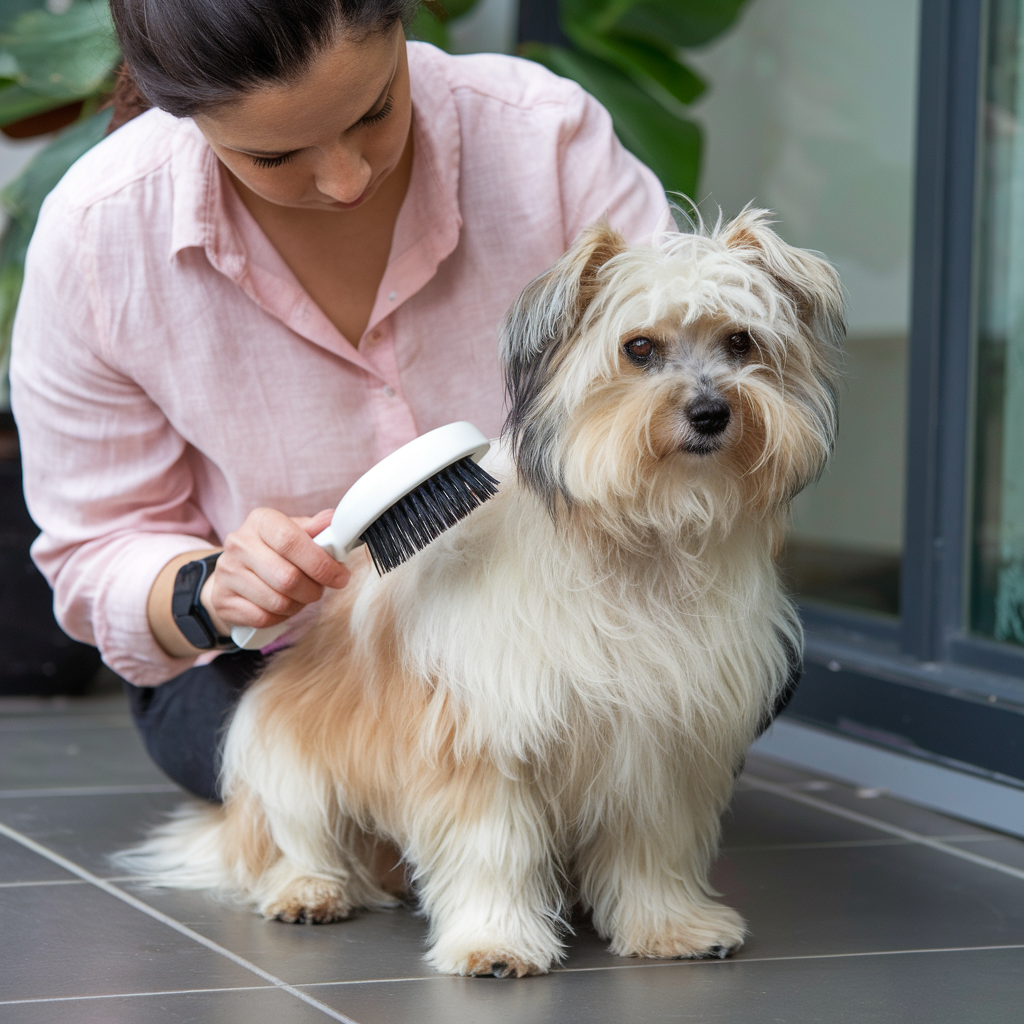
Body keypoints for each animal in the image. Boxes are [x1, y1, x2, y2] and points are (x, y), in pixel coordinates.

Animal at [119, 205, 843, 974]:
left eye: (740, 341)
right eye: (639, 348)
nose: (710, 413)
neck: (636, 543)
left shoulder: (663, 745)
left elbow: (654, 851)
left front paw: (669, 927)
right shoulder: (482, 739)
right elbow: (492, 849)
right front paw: (496, 942)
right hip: (280, 755)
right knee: (291, 841)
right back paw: (309, 890)